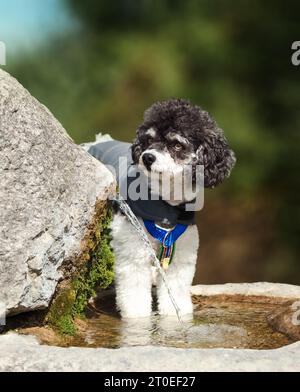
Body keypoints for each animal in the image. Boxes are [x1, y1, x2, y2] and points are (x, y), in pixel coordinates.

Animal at [86, 98, 234, 318]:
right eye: (149, 140)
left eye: (176, 144)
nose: (147, 157)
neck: (165, 205)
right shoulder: (133, 252)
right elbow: (136, 300)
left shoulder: (180, 254)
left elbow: (176, 294)